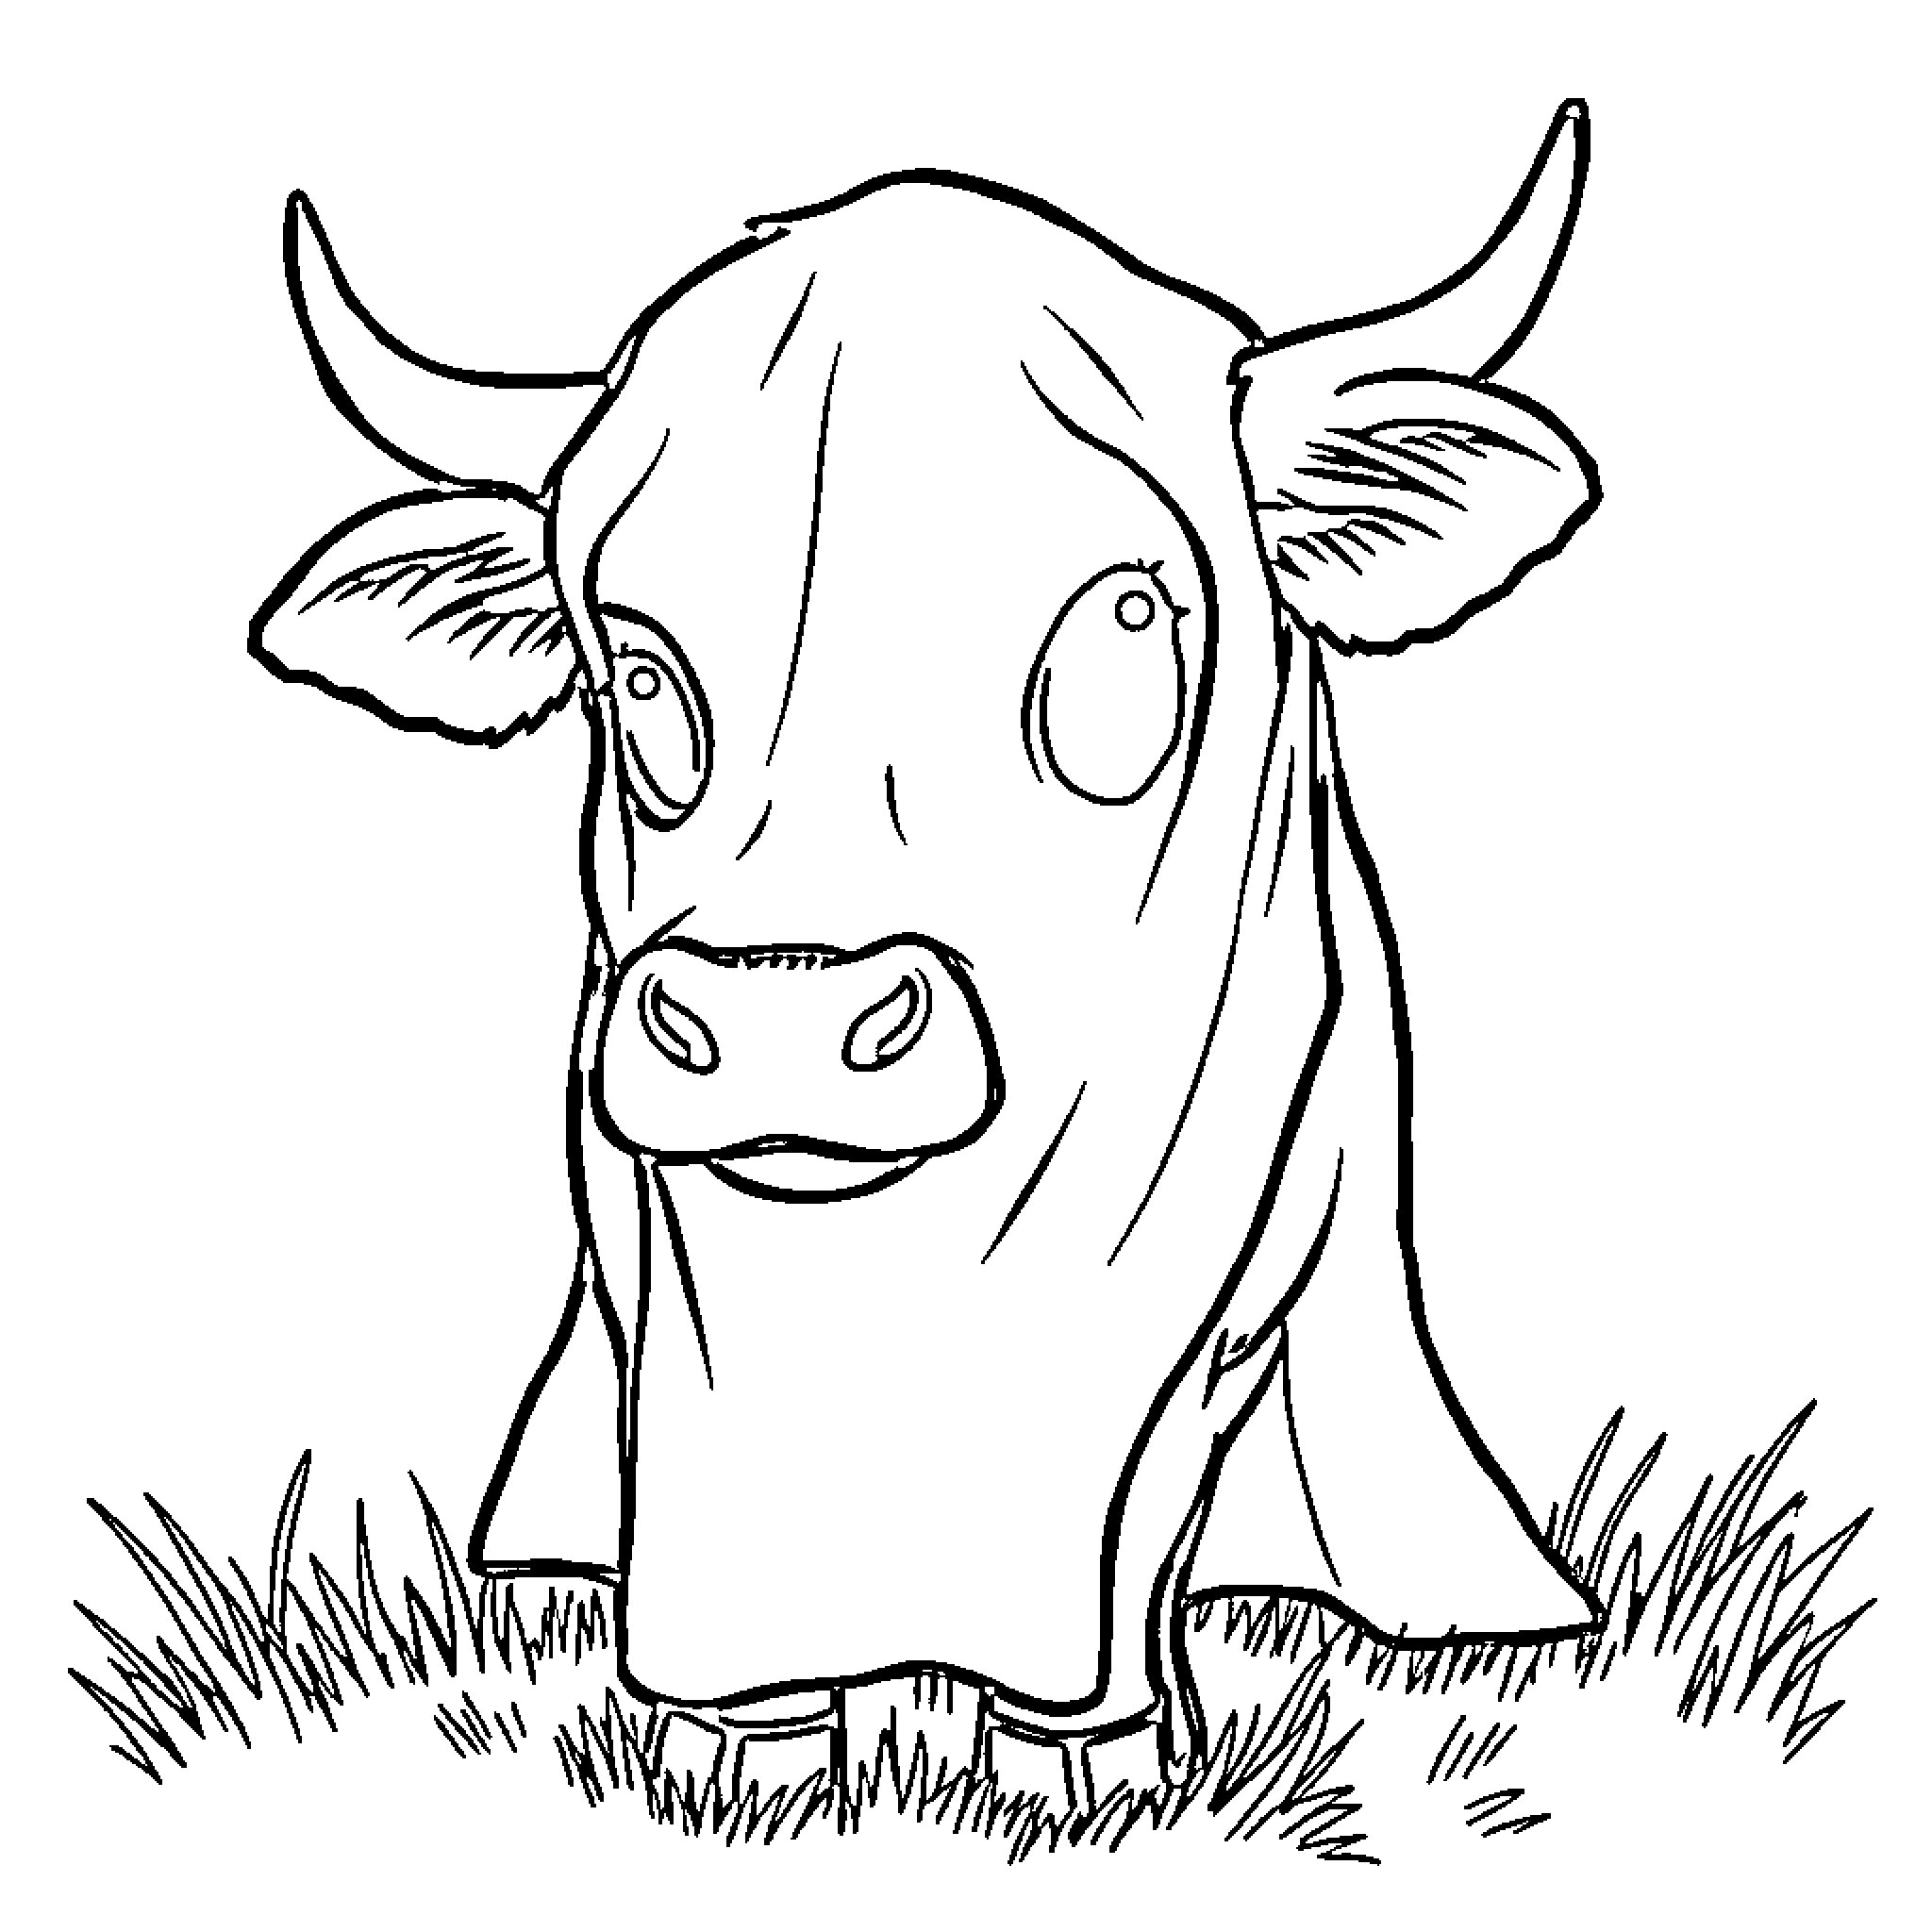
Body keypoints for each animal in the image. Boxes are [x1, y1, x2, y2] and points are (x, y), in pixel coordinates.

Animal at [252, 101, 1605, 1809]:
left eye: (1123, 620)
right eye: (632, 663)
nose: (778, 1016)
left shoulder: (1231, 1294)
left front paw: (1089, 1773)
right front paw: (736, 1763)